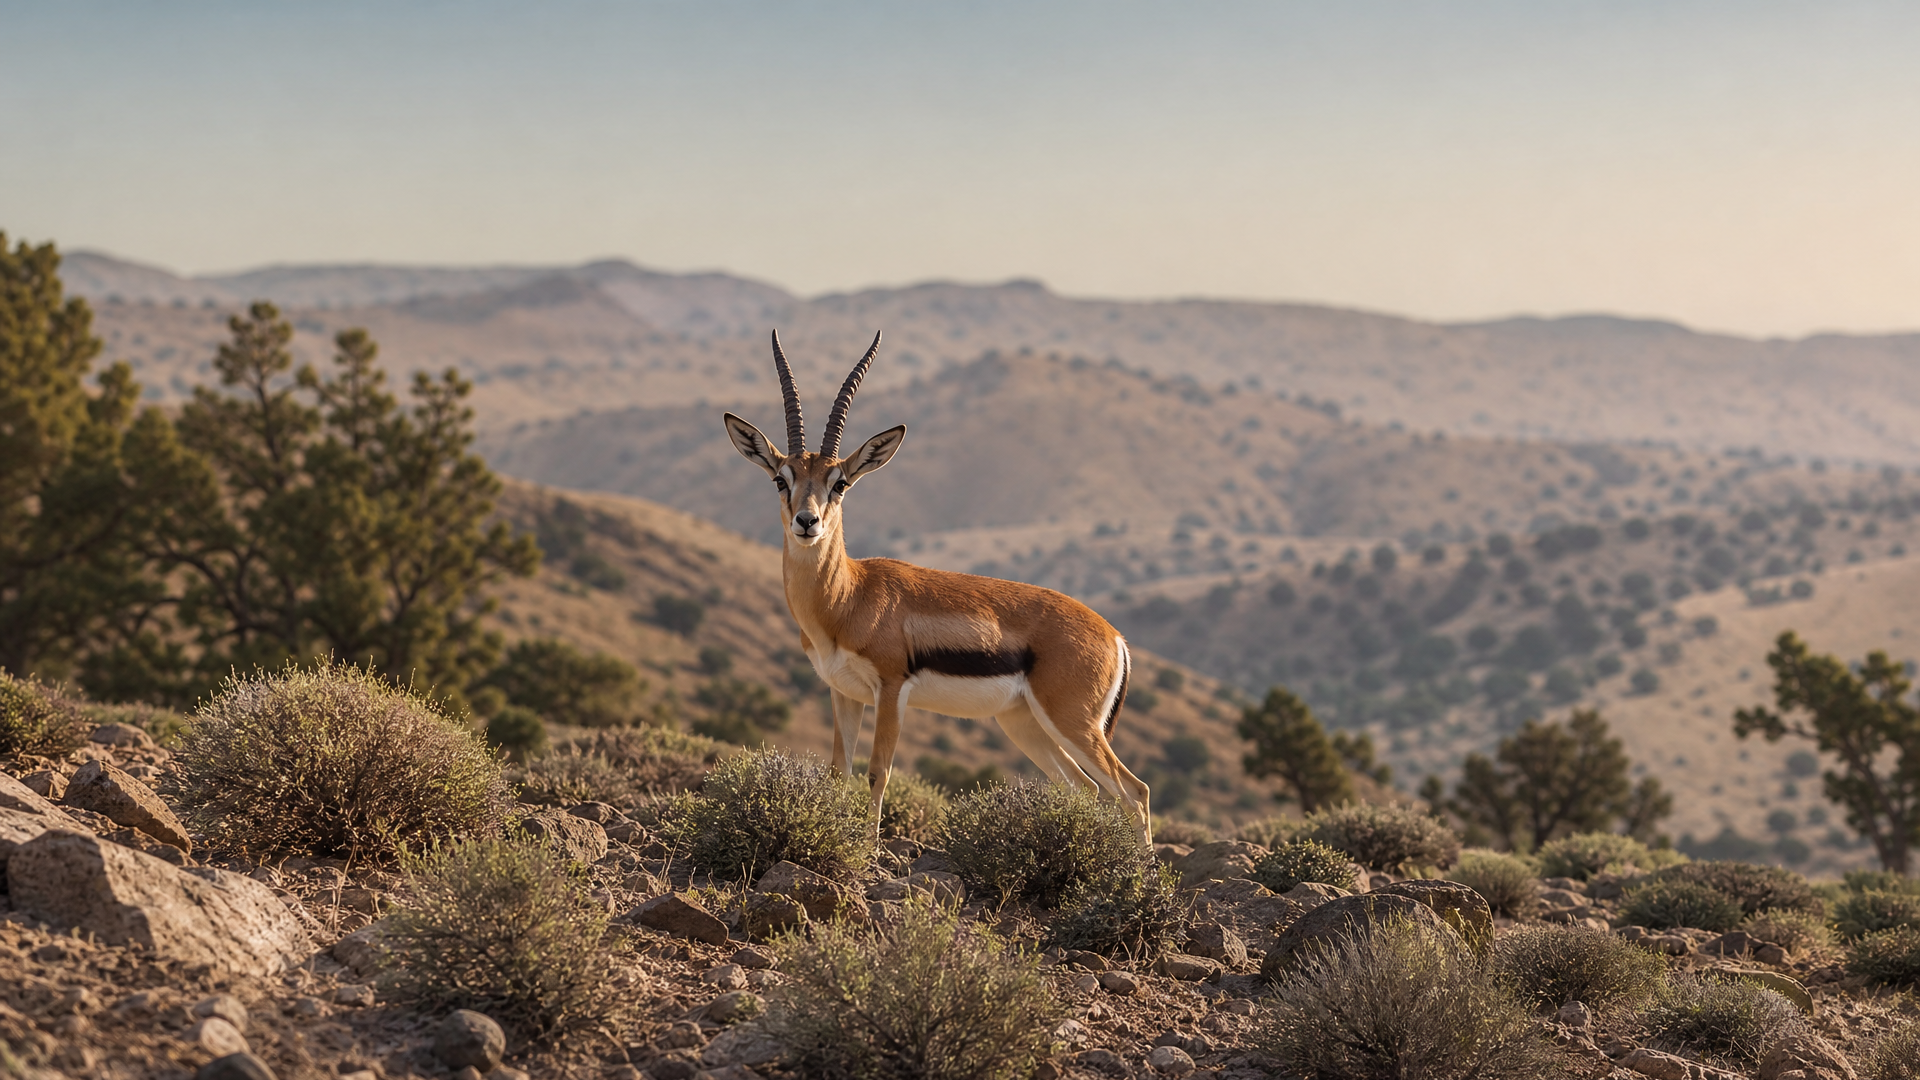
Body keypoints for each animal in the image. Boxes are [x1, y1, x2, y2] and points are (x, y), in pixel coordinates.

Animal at [722, 331, 1153, 846]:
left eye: (840, 482)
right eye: (780, 480)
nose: (808, 523)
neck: (849, 599)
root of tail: (1115, 637)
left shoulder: (890, 690)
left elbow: (878, 771)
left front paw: (869, 851)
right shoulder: (844, 693)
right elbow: (838, 772)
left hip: (1073, 721)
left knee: (1134, 791)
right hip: (1024, 722)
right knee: (1086, 789)